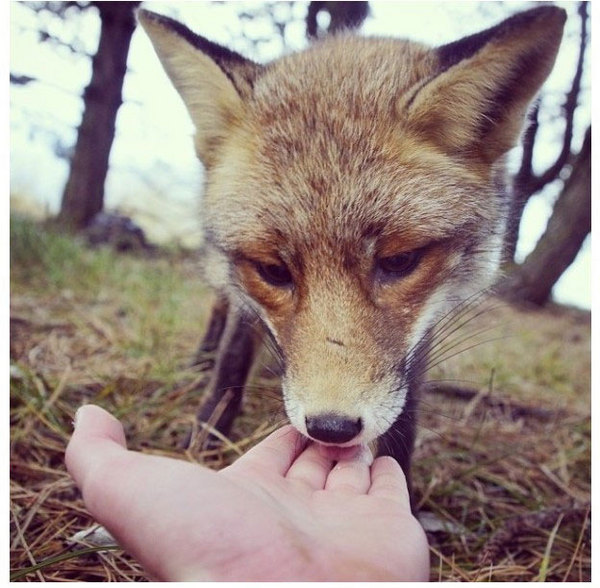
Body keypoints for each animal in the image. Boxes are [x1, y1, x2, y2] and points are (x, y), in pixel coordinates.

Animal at [138, 6, 564, 496]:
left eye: (399, 261)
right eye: (272, 270)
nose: (331, 428)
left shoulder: (427, 316)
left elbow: (405, 406)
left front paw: (401, 488)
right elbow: (233, 355)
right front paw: (207, 433)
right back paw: (202, 359)